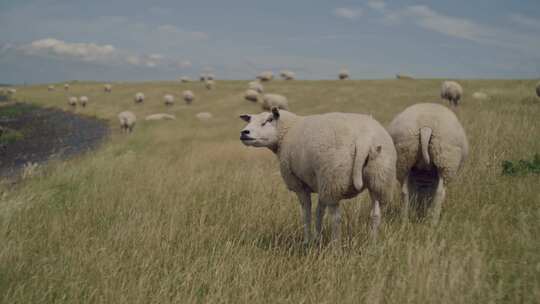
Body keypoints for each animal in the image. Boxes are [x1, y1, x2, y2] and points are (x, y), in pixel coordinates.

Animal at [239, 107, 396, 242]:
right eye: (250, 120)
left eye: (267, 120)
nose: (244, 132)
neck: (287, 130)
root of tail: (363, 139)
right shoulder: (320, 183)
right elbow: (319, 211)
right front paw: (317, 238)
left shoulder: (299, 184)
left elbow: (306, 213)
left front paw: (307, 241)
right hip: (379, 178)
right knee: (375, 214)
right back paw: (373, 244)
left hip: (334, 178)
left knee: (336, 218)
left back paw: (335, 247)